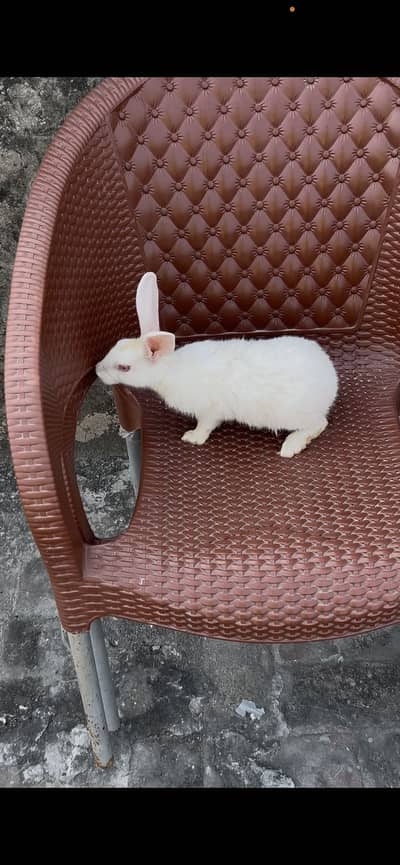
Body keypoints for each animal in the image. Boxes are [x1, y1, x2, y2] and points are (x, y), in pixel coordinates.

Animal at [96, 272, 338, 457]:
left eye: (124, 368)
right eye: (117, 344)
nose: (97, 369)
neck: (169, 370)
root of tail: (331, 379)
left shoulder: (209, 411)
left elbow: (204, 426)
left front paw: (192, 438)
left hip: (293, 415)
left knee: (319, 424)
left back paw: (291, 446)